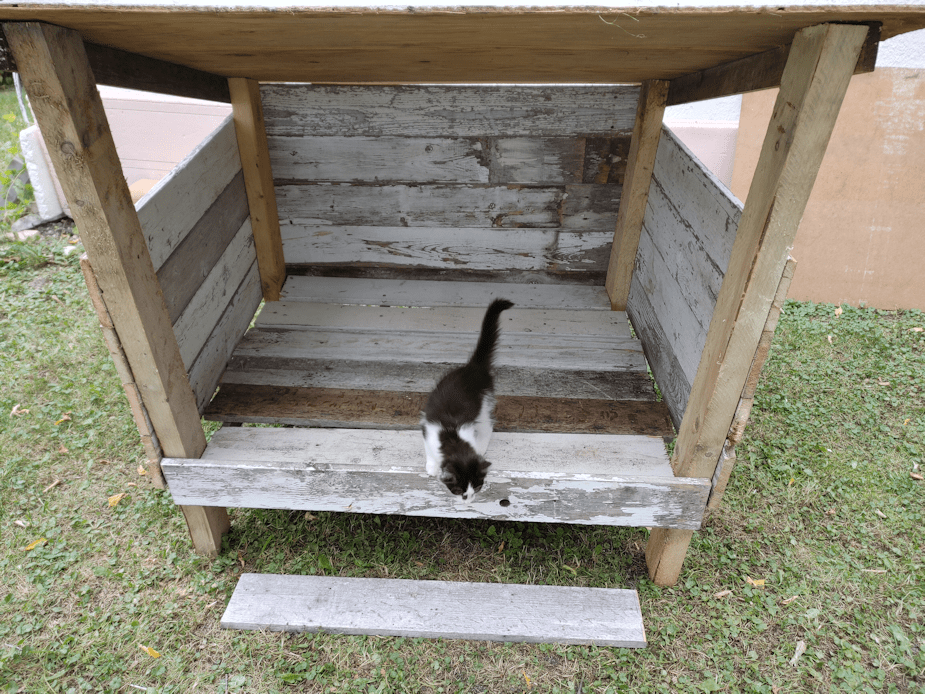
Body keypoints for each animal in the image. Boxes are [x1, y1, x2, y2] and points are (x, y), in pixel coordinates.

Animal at [421, 298, 514, 501]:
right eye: (458, 490)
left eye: (477, 488)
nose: (468, 499)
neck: (452, 437)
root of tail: (473, 368)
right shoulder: (428, 429)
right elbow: (429, 450)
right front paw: (431, 466)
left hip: (484, 402)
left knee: (488, 425)